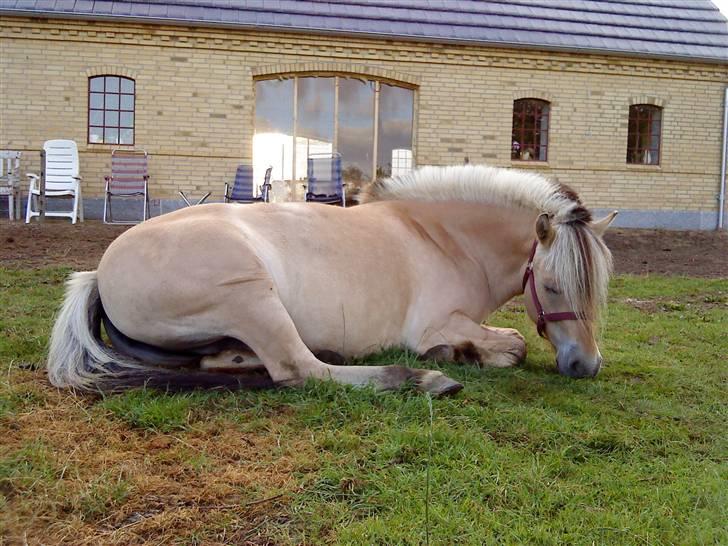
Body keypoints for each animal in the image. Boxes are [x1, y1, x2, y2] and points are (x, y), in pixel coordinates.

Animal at [47, 164, 616, 394]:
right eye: (553, 286)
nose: (585, 366)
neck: (440, 236)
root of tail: (99, 272)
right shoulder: (435, 324)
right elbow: (514, 344)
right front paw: (459, 355)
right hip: (253, 298)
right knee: (300, 369)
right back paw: (421, 379)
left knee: (233, 360)